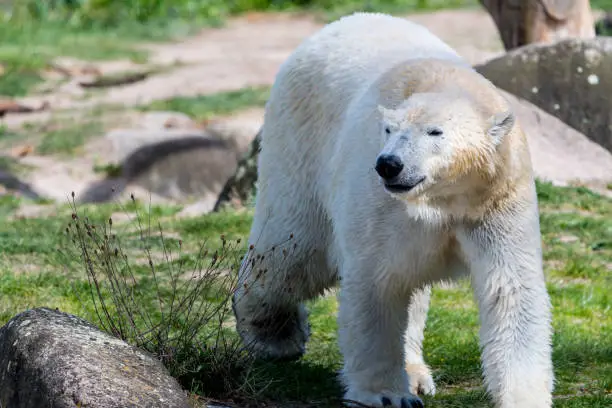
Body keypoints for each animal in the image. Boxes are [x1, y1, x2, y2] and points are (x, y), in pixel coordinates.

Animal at [232, 11, 556, 408]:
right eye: (388, 130)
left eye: (435, 132)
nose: (389, 164)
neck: (442, 200)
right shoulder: (379, 205)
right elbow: (377, 284)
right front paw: (386, 395)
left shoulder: (495, 203)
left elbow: (509, 289)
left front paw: (525, 395)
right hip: (300, 145)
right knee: (293, 252)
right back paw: (275, 334)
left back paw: (415, 373)